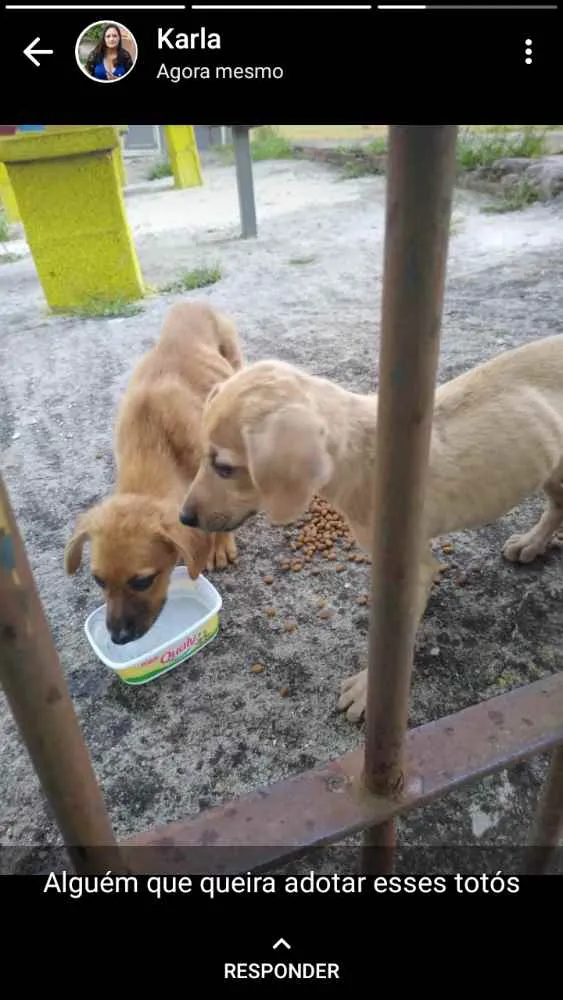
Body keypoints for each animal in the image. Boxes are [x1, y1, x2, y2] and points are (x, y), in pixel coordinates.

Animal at [64, 296, 245, 644]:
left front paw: (219, 546)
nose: (118, 638)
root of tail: (192, 302)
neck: (153, 443)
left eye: (142, 581)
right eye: (98, 580)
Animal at [177, 336, 563, 720]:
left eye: (225, 468)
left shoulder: (413, 568)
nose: (184, 518)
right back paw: (532, 543)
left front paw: (370, 689)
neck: (361, 451)